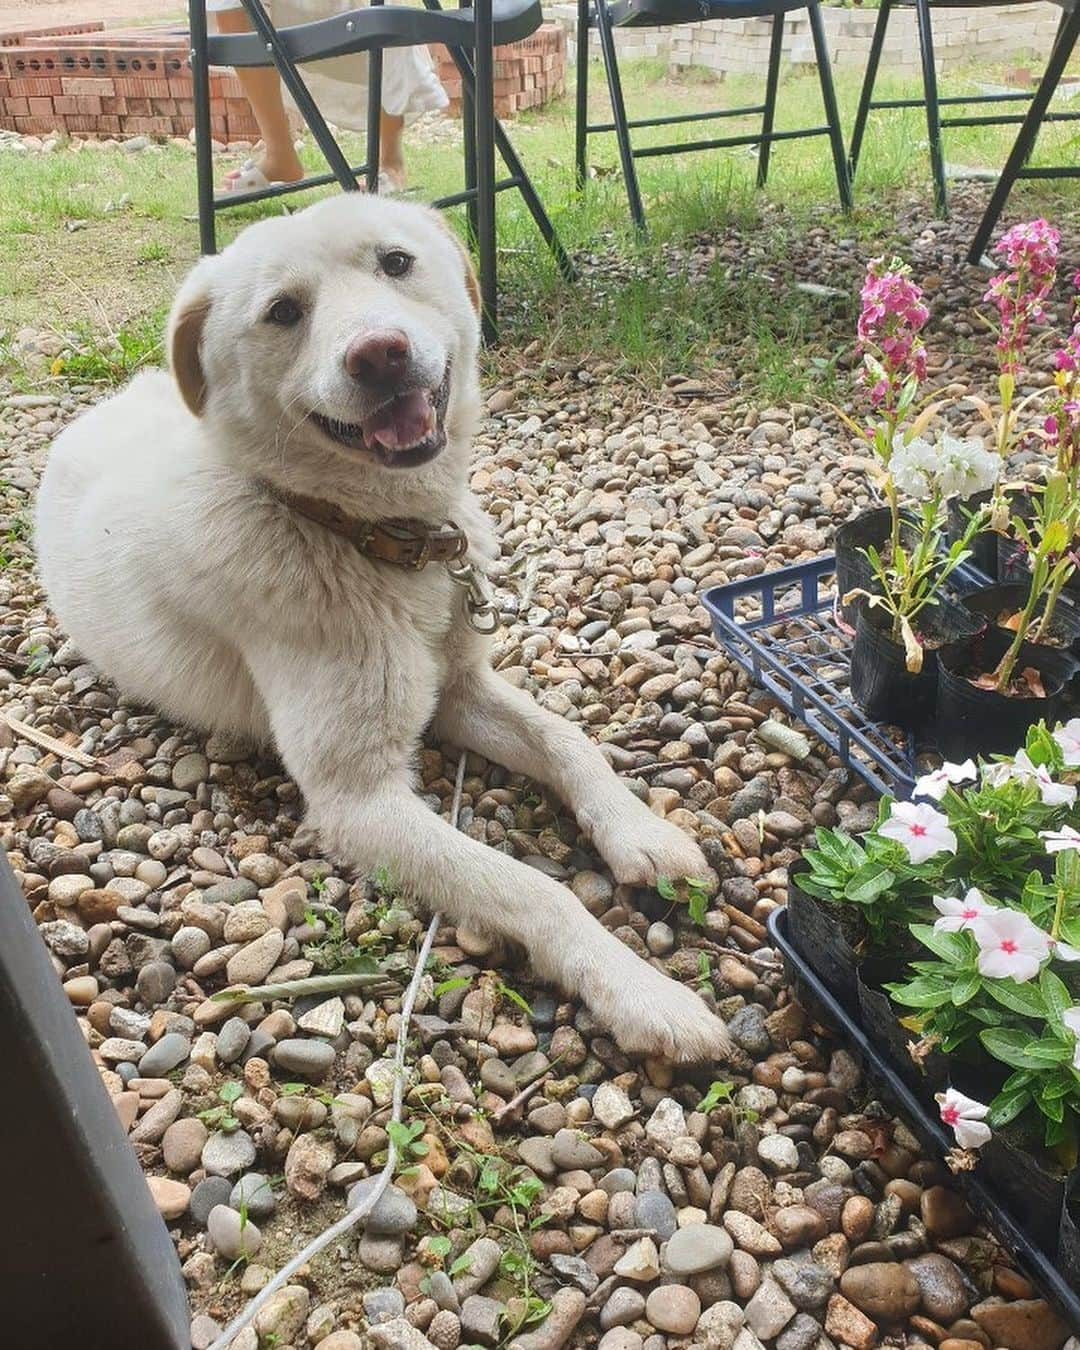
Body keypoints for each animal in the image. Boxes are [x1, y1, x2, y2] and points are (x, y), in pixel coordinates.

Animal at [40, 195, 734, 1058]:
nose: (379, 354)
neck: (372, 539)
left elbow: (568, 740)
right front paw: (642, 993)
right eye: (283, 311)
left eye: (396, 262)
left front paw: (641, 833)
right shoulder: (361, 800)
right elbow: (532, 888)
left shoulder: (462, 689)